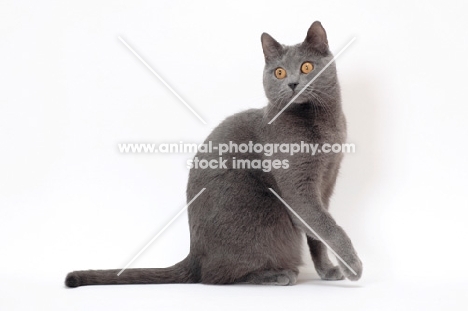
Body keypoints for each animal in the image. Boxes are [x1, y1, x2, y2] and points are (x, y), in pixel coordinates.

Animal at [64, 20, 362, 288]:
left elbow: (318, 234)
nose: (291, 83)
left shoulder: (327, 180)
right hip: (260, 217)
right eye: (278, 72)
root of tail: (194, 256)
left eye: (306, 67)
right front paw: (353, 266)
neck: (323, 123)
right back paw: (276, 275)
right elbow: (328, 226)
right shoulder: (298, 188)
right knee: (216, 276)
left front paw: (329, 270)